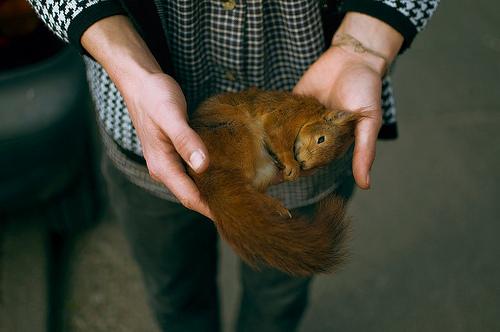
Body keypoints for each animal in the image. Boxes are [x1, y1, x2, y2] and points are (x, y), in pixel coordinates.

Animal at [189, 87, 362, 274]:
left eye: (327, 161)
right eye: (321, 139)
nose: (303, 164)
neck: (311, 115)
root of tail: (207, 175)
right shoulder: (288, 115)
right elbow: (276, 133)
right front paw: (291, 165)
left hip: (264, 169)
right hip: (237, 135)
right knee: (247, 186)